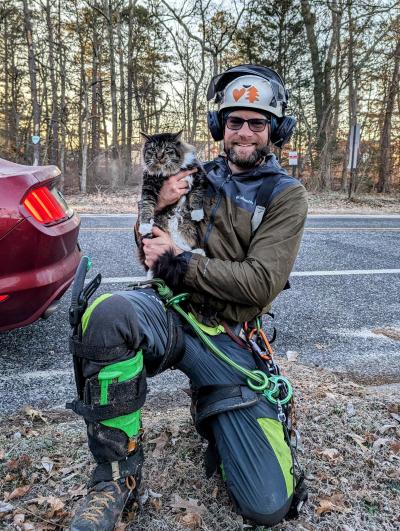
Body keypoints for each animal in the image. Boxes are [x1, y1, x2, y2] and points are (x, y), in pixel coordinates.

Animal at [138, 131, 206, 278]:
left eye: (167, 149)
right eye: (153, 150)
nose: (159, 157)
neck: (168, 172)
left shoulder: (198, 174)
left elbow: (197, 193)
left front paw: (197, 213)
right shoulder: (148, 186)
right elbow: (146, 204)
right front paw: (144, 225)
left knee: (181, 249)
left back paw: (199, 252)